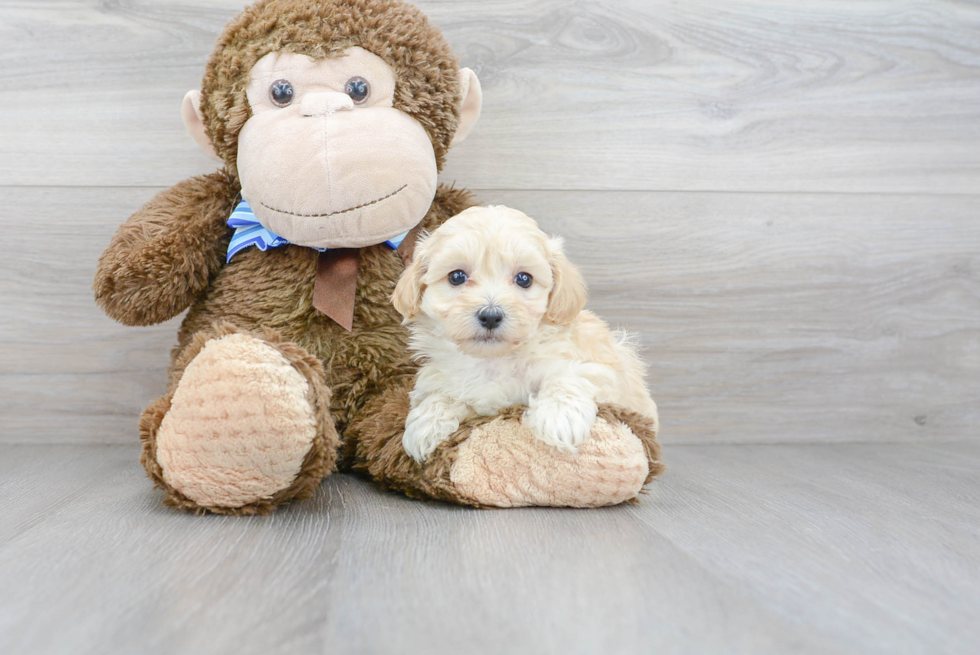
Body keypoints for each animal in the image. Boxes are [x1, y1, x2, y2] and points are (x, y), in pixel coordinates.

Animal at [392, 205, 660, 462]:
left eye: (524, 279)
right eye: (456, 276)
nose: (491, 315)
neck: (493, 361)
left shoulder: (602, 371)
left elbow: (569, 377)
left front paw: (559, 418)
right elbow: (441, 395)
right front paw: (426, 425)